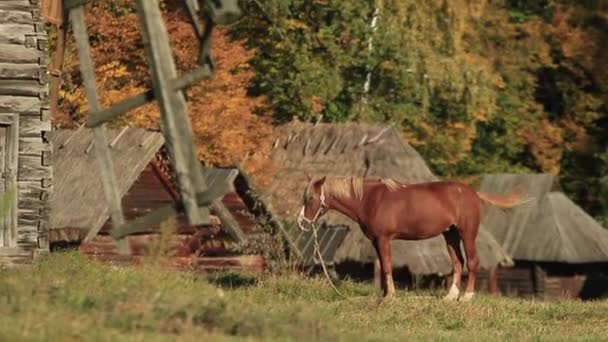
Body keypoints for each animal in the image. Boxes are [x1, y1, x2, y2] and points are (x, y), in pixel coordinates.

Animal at [296, 178, 528, 300]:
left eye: (310, 198)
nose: (302, 223)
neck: (370, 199)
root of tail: (473, 193)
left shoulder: (384, 239)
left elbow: (387, 265)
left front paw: (390, 296)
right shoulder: (376, 241)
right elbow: (383, 265)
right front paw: (384, 294)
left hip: (467, 234)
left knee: (472, 262)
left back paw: (467, 297)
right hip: (450, 235)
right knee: (457, 263)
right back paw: (450, 296)